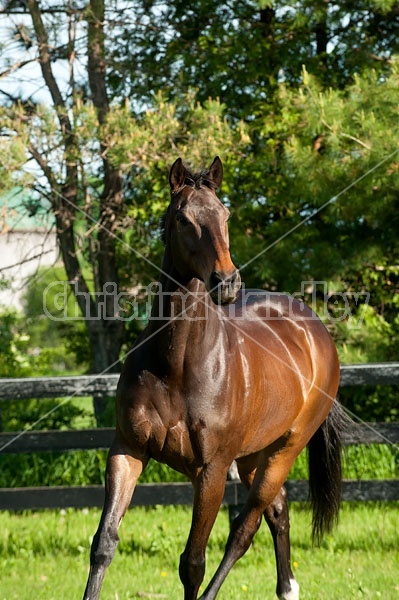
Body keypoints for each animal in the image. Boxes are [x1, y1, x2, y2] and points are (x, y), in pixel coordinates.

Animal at [83, 156, 344, 600]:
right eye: (183, 218)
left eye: (225, 214)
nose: (227, 281)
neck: (177, 366)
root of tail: (315, 331)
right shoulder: (127, 451)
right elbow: (104, 544)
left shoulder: (211, 471)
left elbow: (193, 563)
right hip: (254, 455)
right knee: (277, 513)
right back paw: (287, 588)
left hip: (285, 450)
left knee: (245, 528)